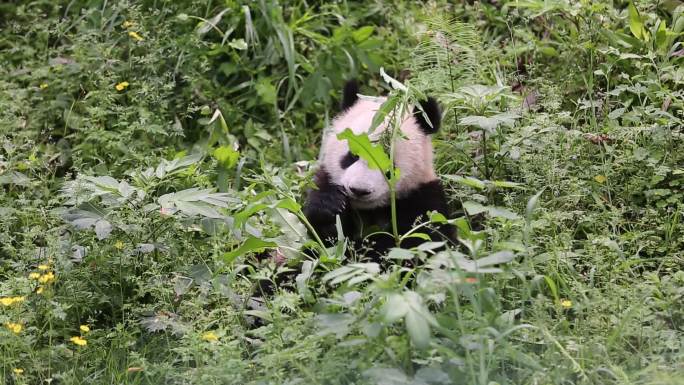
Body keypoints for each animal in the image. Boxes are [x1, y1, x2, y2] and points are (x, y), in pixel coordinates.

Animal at [304, 80, 454, 258]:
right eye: (353, 155)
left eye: (387, 163)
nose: (359, 190)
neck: (369, 211)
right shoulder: (325, 180)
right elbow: (320, 240)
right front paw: (331, 207)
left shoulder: (425, 199)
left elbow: (419, 241)